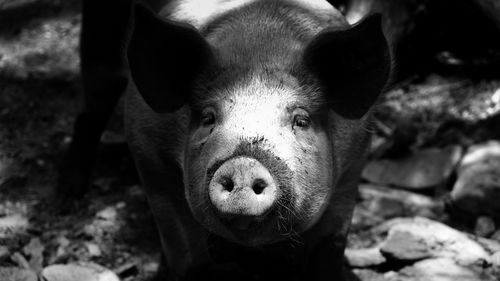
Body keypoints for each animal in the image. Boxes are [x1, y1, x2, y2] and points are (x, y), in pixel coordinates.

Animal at [124, 1, 390, 278]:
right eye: (208, 118)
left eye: (301, 120)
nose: (244, 165)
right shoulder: (149, 158)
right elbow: (186, 251)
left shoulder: (352, 168)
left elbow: (328, 247)